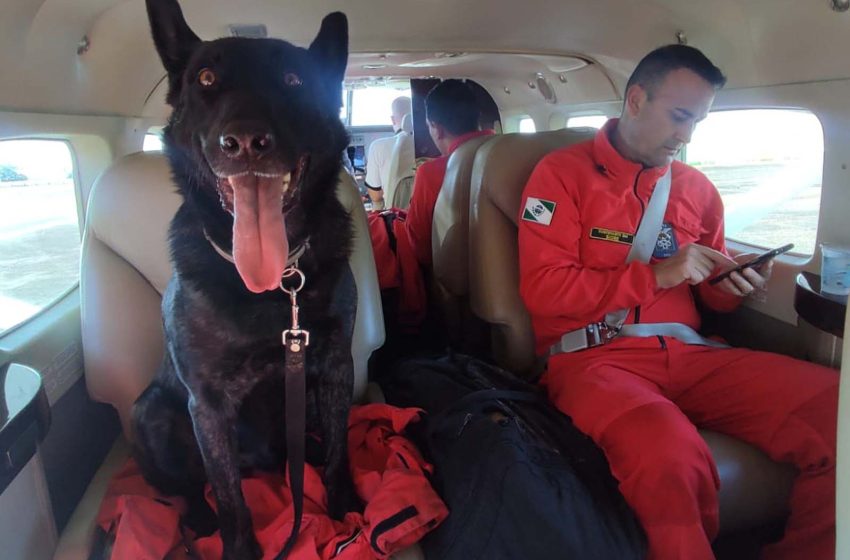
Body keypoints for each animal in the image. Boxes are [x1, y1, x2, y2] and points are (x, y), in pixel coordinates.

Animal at [132, 2, 354, 556]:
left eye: (294, 79)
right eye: (206, 79)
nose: (246, 142)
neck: (275, 282)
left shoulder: (335, 369)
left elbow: (340, 450)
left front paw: (346, 505)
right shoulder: (208, 405)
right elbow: (231, 498)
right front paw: (238, 546)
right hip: (150, 414)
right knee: (189, 488)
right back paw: (198, 521)